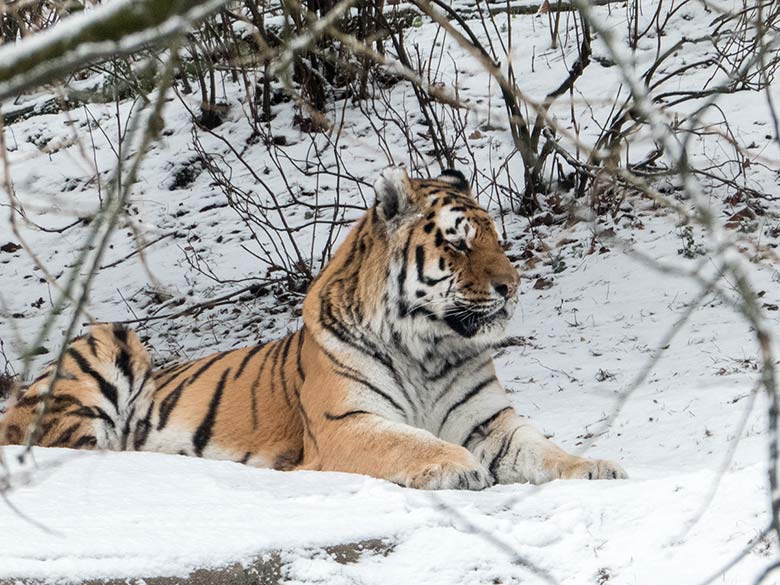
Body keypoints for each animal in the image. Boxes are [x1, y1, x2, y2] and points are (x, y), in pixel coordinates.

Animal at [0, 167, 624, 486]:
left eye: (495, 236)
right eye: (457, 242)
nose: (512, 286)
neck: (428, 347)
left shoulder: (491, 422)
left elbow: (543, 449)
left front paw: (595, 466)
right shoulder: (347, 422)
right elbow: (410, 440)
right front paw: (456, 467)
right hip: (108, 340)